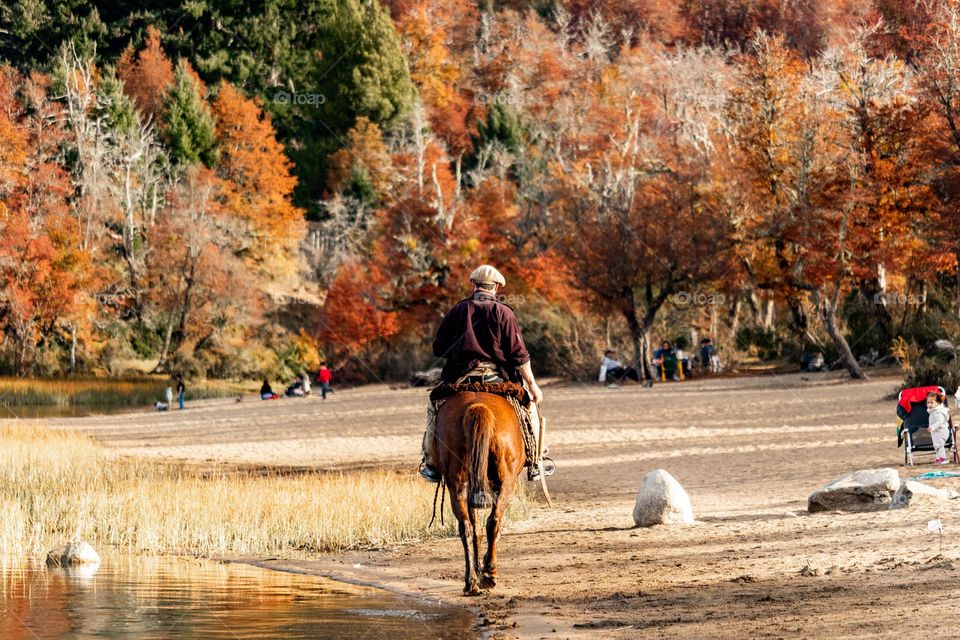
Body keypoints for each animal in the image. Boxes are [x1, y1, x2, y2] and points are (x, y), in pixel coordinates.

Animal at [434, 390, 524, 596]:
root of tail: (478, 406)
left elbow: (475, 529)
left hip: (458, 484)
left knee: (466, 527)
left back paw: (471, 581)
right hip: (506, 482)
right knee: (493, 521)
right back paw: (489, 573)